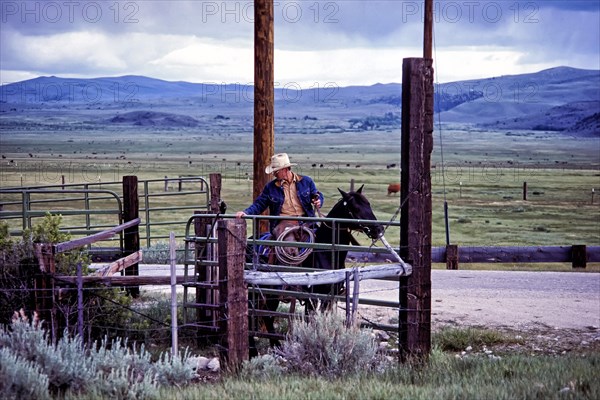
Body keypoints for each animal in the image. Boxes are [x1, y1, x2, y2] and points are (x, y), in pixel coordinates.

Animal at [248, 184, 384, 356]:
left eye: (368, 204)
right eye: (355, 208)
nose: (378, 229)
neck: (324, 252)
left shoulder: (329, 297)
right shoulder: (312, 298)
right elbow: (311, 321)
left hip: (270, 294)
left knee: (266, 314)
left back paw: (276, 346)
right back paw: (254, 350)